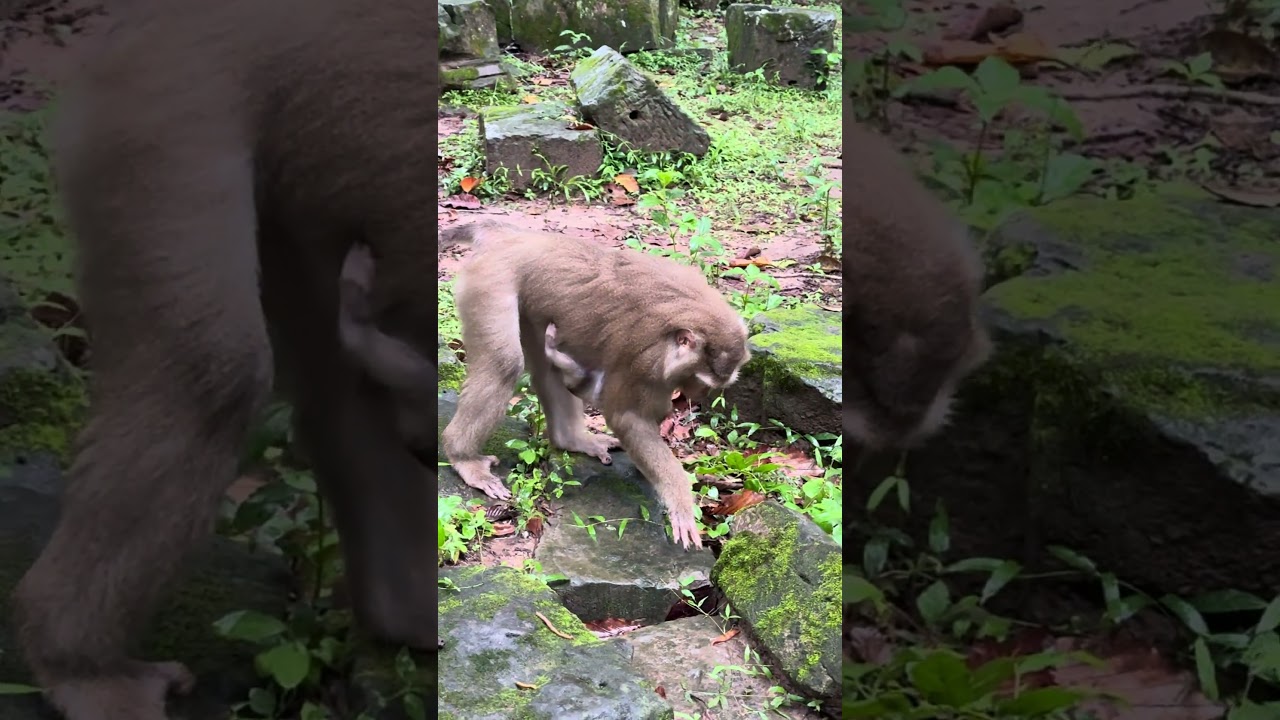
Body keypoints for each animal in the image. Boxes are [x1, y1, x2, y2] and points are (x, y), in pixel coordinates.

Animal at [439, 220, 751, 550]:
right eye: (699, 380)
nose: (697, 395)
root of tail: (507, 235)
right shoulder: (644, 357)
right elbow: (627, 418)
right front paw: (680, 501)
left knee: (544, 361)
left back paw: (569, 439)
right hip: (492, 280)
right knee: (504, 363)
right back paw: (462, 456)